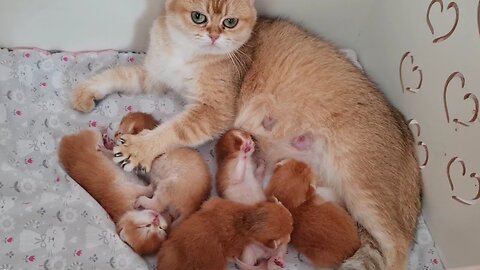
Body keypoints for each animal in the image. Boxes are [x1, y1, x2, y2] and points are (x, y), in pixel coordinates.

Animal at [71, 0, 256, 173]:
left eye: (231, 22)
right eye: (198, 17)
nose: (214, 36)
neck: (189, 52)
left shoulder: (214, 111)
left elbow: (174, 130)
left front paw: (139, 149)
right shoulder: (154, 75)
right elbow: (119, 74)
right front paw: (86, 92)